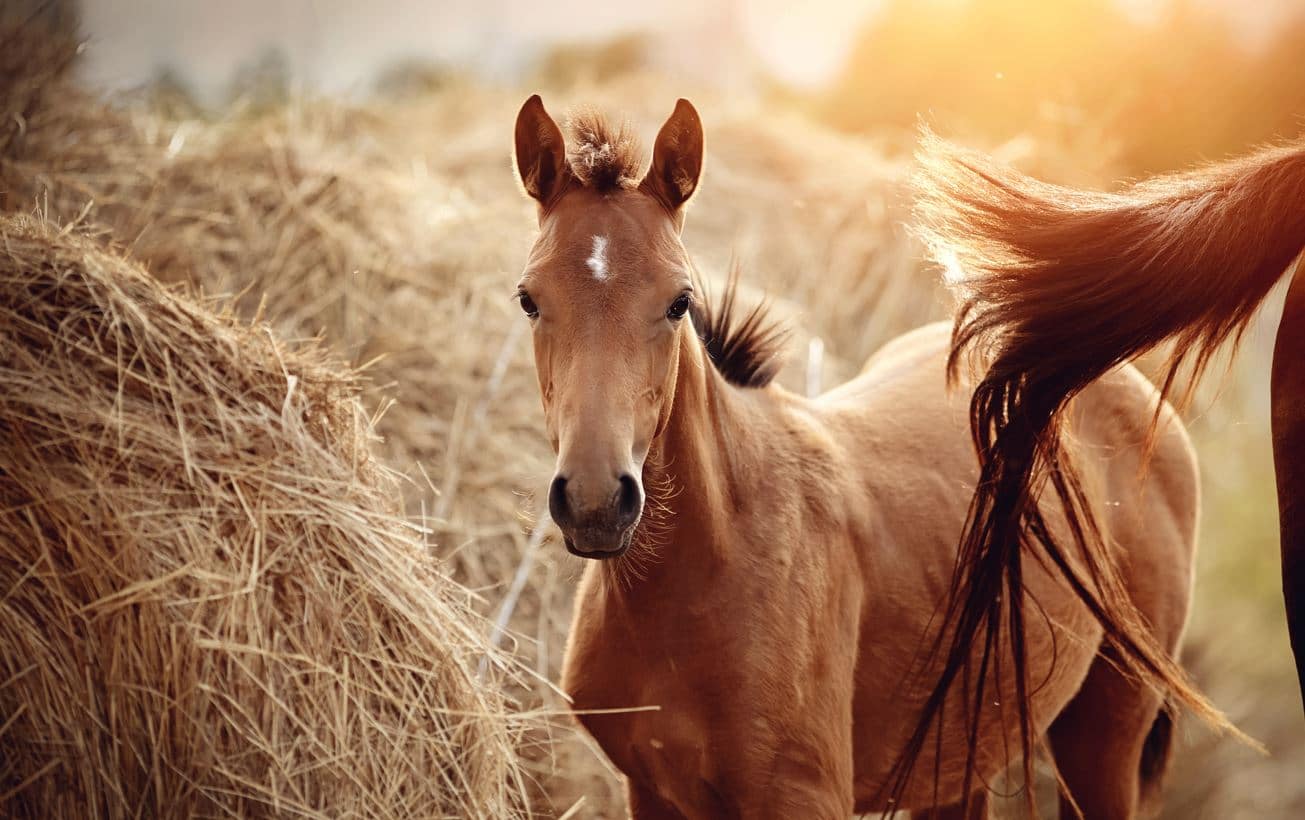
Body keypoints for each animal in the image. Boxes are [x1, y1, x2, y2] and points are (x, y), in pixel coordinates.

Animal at [511, 92, 1200, 814]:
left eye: (679, 301)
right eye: (529, 299)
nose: (594, 501)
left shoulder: (801, 797)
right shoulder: (648, 791)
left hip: (1104, 736)